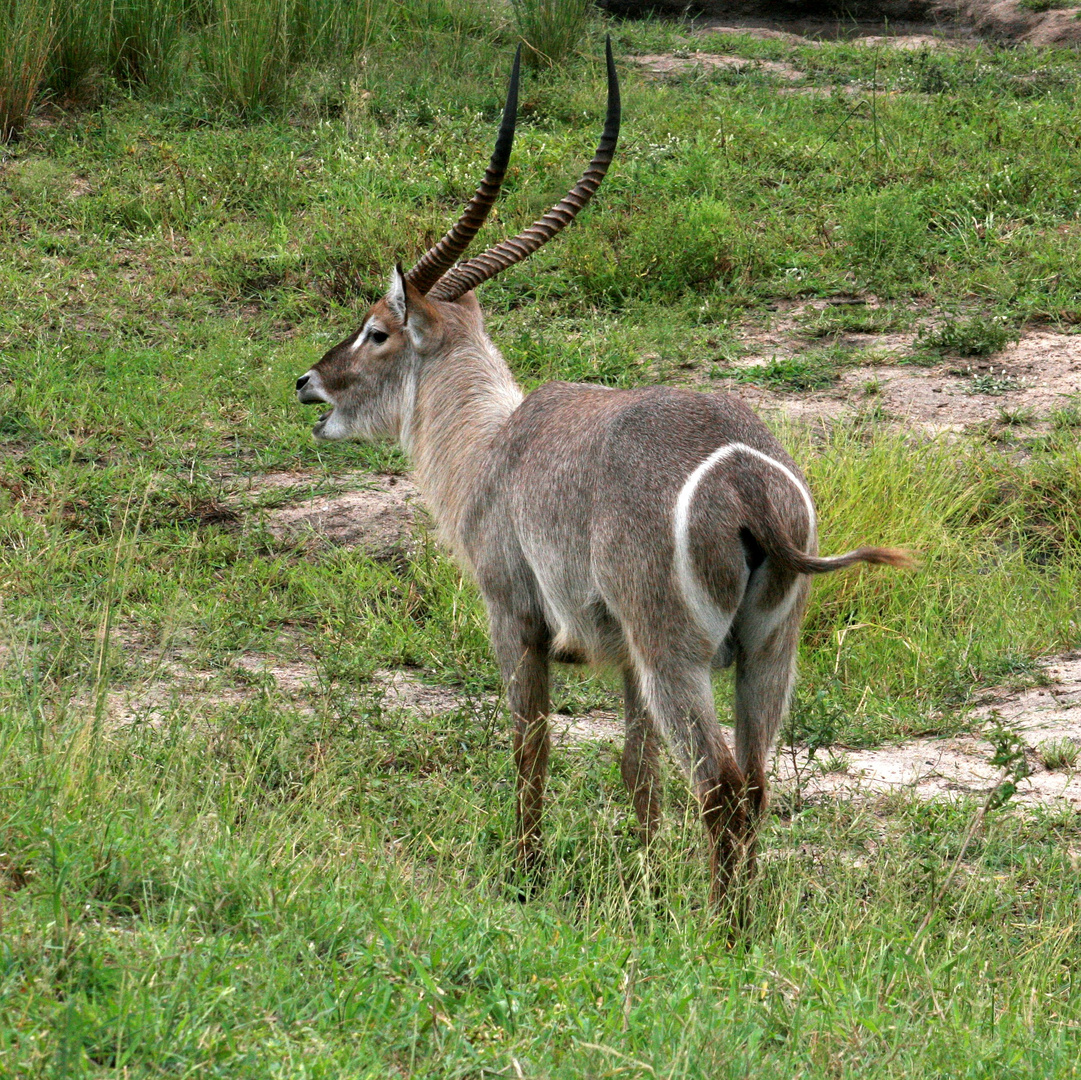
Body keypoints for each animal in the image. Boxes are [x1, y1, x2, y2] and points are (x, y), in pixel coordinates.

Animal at [296, 40, 912, 903]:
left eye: (376, 330)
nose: (308, 383)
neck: (495, 441)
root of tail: (743, 479)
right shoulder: (623, 660)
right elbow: (635, 770)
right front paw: (645, 882)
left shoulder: (513, 620)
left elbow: (530, 746)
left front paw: (524, 872)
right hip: (766, 654)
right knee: (754, 784)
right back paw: (743, 916)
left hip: (676, 656)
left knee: (720, 786)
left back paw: (717, 926)